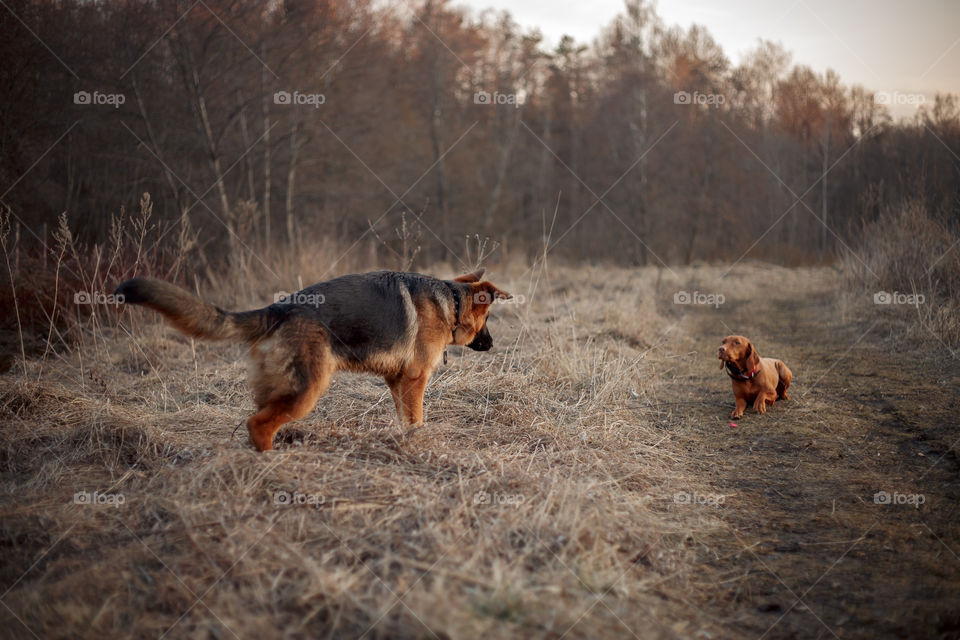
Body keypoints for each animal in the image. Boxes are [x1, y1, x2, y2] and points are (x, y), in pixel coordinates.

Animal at [114, 268, 510, 450]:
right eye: (489, 319)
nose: (492, 345)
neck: (451, 302)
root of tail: (279, 309)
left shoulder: (397, 382)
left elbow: (403, 417)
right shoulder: (414, 380)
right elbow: (416, 419)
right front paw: (417, 442)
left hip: (281, 387)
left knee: (259, 418)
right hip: (307, 388)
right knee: (258, 425)